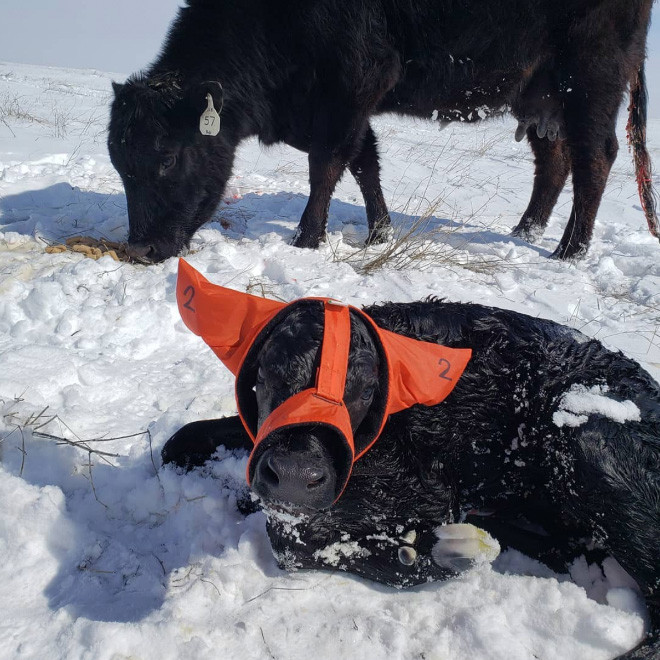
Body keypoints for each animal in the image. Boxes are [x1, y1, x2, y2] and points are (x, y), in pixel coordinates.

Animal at [108, 0, 656, 262]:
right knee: (555, 161)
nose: (139, 249)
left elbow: (328, 164)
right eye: (119, 164)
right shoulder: (344, 106)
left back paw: (569, 251)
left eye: (166, 157)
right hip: (540, 97)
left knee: (595, 157)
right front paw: (379, 233)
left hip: (590, 83)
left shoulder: (353, 85)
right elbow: (363, 162)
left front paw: (306, 238)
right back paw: (525, 231)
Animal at [161, 300, 660, 660]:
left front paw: (424, 552)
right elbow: (184, 438)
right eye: (265, 374)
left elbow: (290, 536)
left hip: (593, 445)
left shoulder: (425, 490)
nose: (292, 477)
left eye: (366, 390)